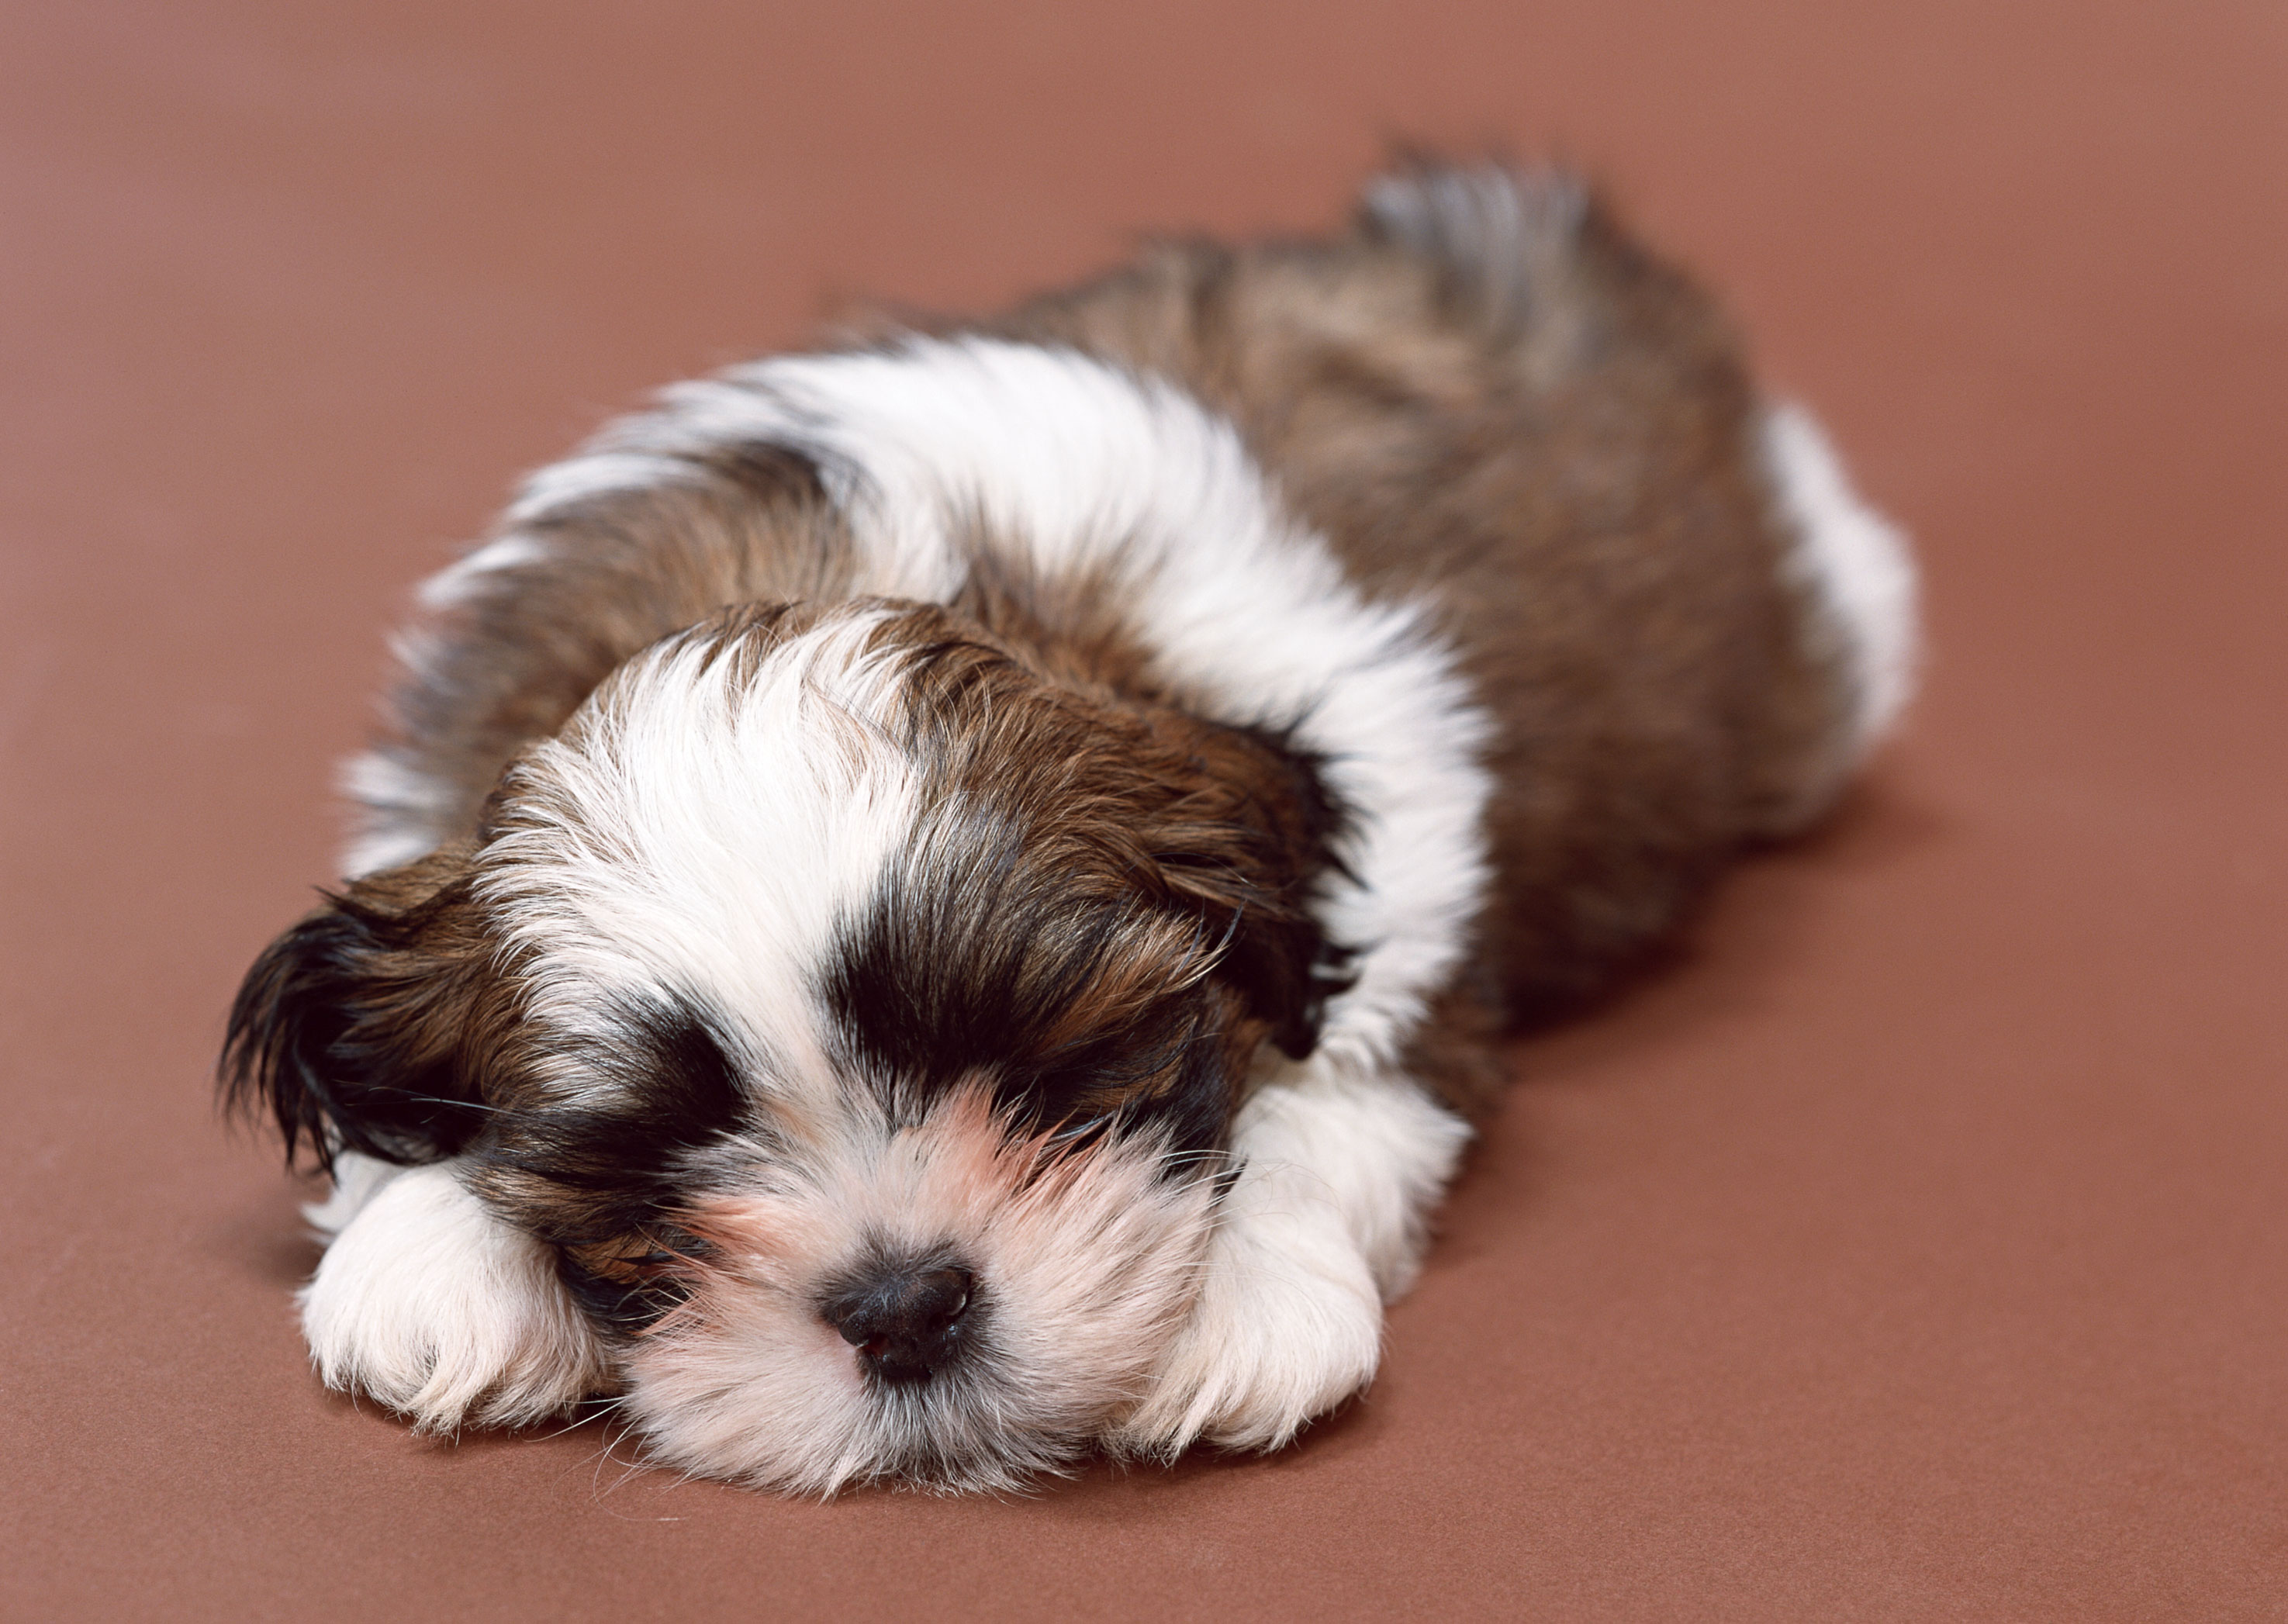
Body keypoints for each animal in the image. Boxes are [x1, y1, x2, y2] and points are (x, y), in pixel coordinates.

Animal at [227, 165, 1913, 1500]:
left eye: (1047, 1066)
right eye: (656, 1153)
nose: (904, 1301)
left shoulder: (1398, 904)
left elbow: (1334, 1096)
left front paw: (1236, 1293)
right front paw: (433, 1251)